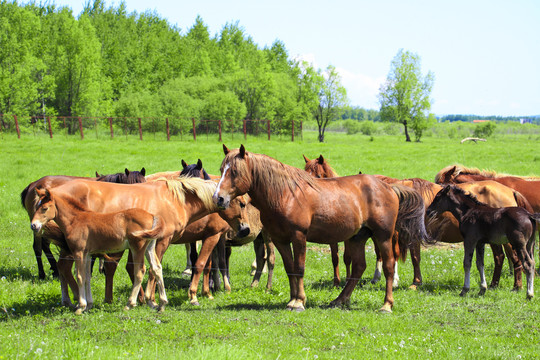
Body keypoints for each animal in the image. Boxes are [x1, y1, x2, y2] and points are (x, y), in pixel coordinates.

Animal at [30, 187, 166, 314]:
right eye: (36, 207)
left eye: (44, 208)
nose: (33, 225)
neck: (75, 220)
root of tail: (152, 216)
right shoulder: (87, 254)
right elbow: (87, 277)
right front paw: (89, 304)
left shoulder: (78, 252)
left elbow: (79, 276)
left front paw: (81, 307)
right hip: (149, 247)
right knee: (157, 268)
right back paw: (161, 304)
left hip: (137, 247)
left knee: (140, 271)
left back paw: (130, 304)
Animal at [213, 144, 428, 312]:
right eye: (221, 169)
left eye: (234, 172)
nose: (218, 198)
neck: (285, 194)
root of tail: (389, 187)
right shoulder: (280, 240)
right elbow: (290, 268)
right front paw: (292, 299)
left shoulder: (299, 236)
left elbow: (299, 268)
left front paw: (299, 301)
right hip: (357, 237)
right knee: (359, 267)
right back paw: (339, 300)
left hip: (382, 236)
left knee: (389, 265)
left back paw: (386, 305)